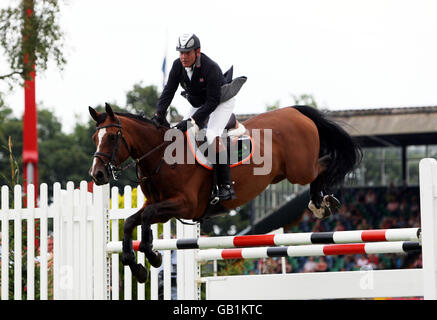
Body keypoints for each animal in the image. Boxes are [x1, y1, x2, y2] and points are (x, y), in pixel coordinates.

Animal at [87, 103, 360, 282]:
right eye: (94, 137)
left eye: (112, 137)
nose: (96, 175)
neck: (162, 156)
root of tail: (294, 111)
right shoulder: (160, 206)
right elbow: (130, 222)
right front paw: (139, 267)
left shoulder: (184, 205)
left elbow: (143, 218)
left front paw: (152, 256)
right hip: (286, 172)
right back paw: (322, 202)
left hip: (300, 170)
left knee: (324, 164)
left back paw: (321, 202)